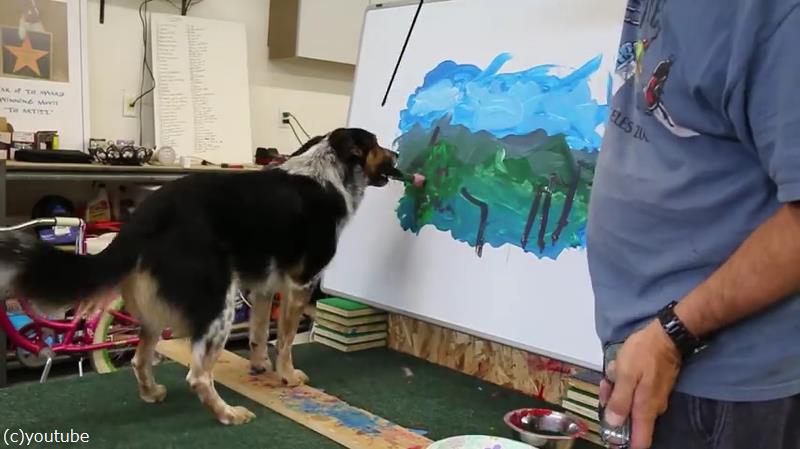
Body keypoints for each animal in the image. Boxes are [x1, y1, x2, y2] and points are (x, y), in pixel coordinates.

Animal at [0, 128, 397, 425]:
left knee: (140, 360)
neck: (326, 173)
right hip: (218, 304)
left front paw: (259, 368)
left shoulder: (264, 285)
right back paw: (228, 414)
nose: (396, 155)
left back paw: (151, 394)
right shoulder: (300, 284)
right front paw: (287, 376)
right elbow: (284, 341)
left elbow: (258, 335)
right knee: (197, 376)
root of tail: (147, 213)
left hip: (155, 311)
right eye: (377, 144)